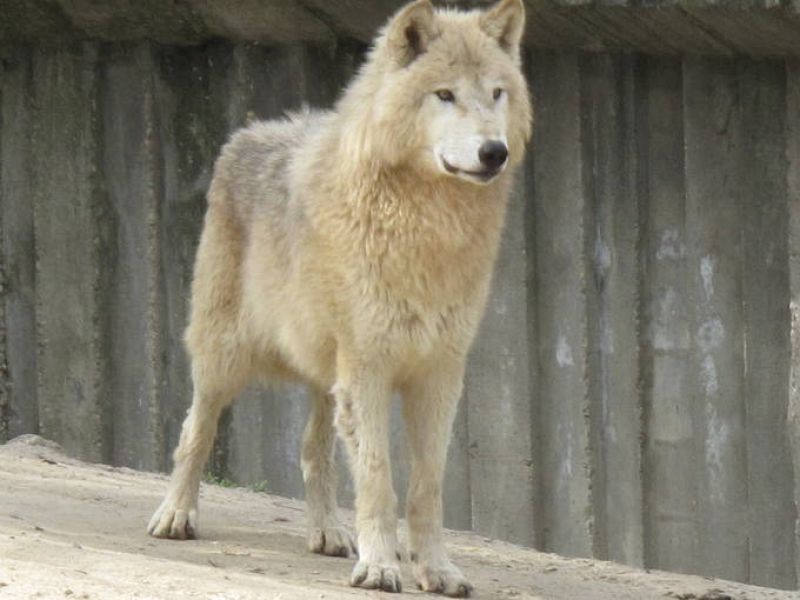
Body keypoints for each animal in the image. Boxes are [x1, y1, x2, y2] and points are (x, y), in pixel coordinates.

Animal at [147, 0, 532, 595]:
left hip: (328, 377)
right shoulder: (369, 367)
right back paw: (175, 515)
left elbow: (426, 486)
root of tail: (249, 131)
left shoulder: (439, 374)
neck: (427, 225)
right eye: (444, 94)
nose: (494, 151)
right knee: (195, 430)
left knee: (312, 450)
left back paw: (327, 532)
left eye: (496, 93)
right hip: (225, 358)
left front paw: (436, 569)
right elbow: (377, 480)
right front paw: (380, 566)